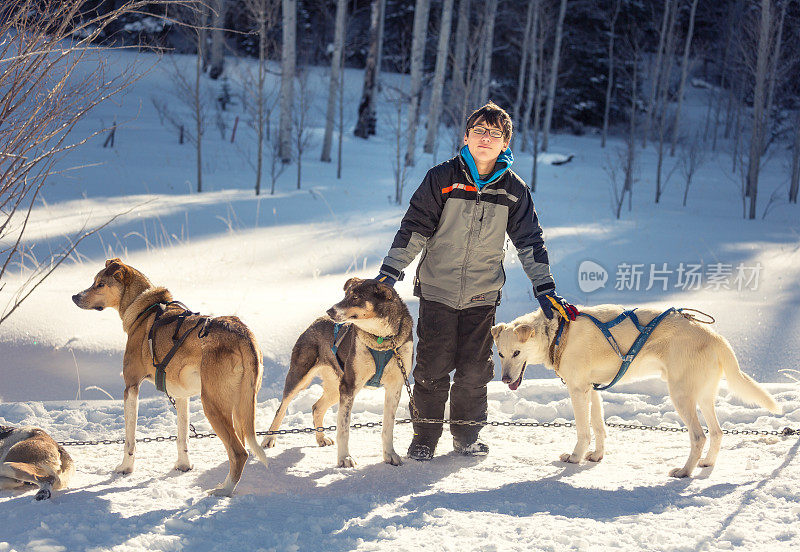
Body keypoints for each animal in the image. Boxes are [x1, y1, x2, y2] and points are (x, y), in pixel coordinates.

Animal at [71, 258, 268, 496]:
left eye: (99, 284)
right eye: (94, 281)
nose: (75, 296)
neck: (145, 309)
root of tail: (243, 334)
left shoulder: (131, 387)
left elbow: (130, 440)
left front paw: (126, 468)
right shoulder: (182, 396)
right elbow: (182, 437)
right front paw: (183, 466)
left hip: (212, 405)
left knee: (239, 452)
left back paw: (224, 490)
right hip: (241, 407)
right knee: (242, 446)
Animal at [262, 278, 412, 468]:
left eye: (355, 297)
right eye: (345, 294)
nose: (330, 310)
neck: (382, 339)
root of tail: (317, 320)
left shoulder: (395, 387)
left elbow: (388, 426)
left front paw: (389, 455)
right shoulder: (349, 387)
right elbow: (343, 429)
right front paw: (344, 458)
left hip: (335, 387)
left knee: (317, 407)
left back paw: (320, 438)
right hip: (301, 378)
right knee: (281, 408)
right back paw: (269, 439)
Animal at [490, 304, 780, 476]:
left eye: (517, 353)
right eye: (501, 354)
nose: (504, 379)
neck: (560, 333)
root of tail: (716, 337)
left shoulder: (578, 390)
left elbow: (583, 431)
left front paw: (575, 457)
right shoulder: (592, 390)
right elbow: (599, 428)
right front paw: (596, 456)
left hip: (681, 396)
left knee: (699, 437)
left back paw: (685, 471)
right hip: (704, 397)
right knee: (717, 433)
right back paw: (706, 463)